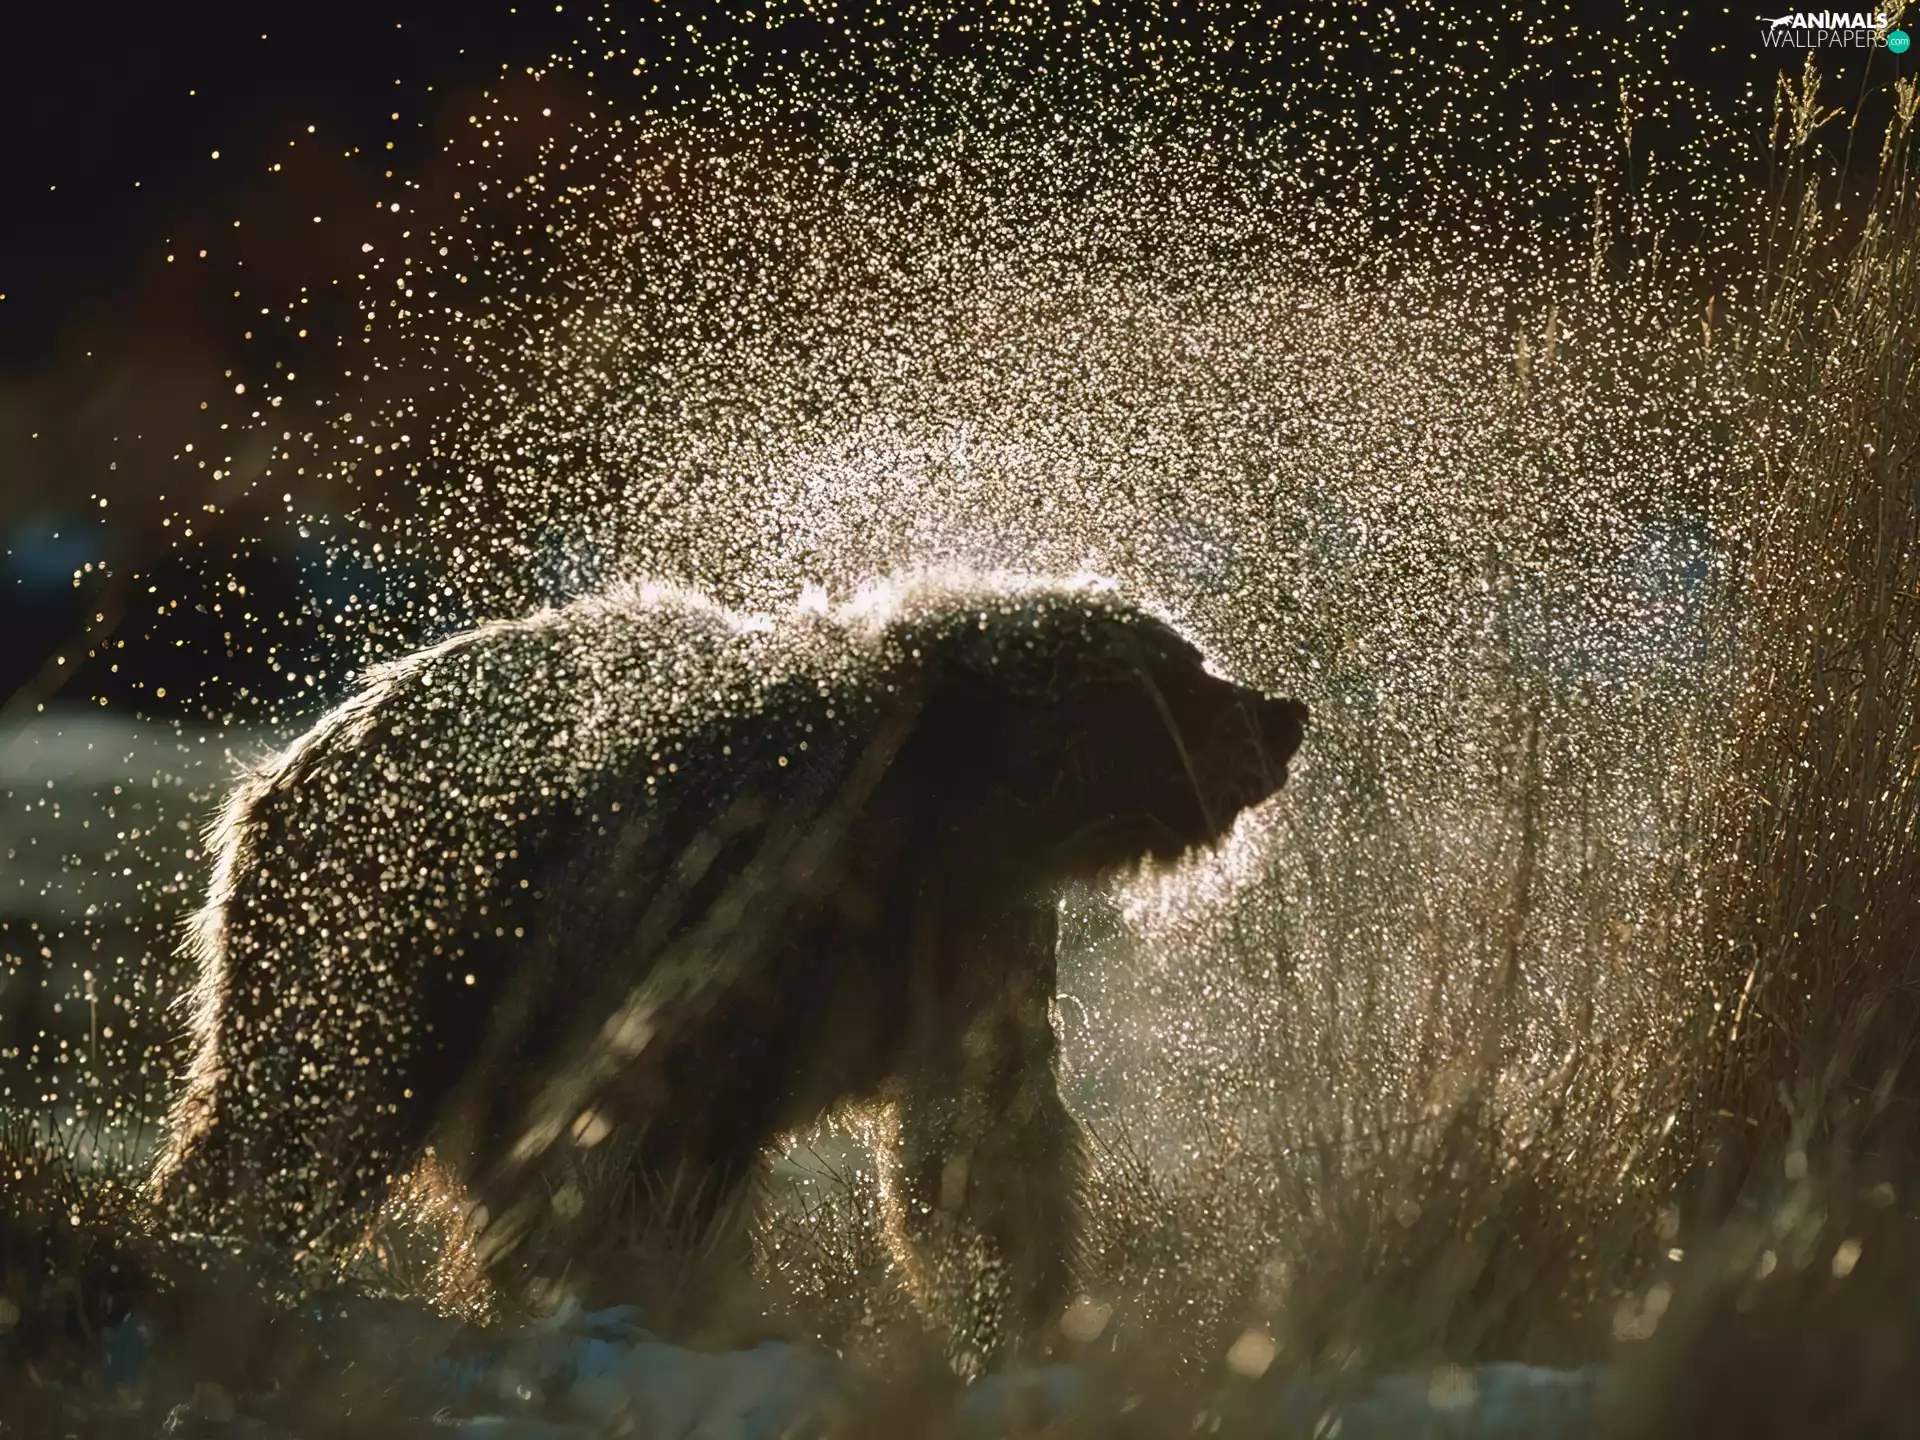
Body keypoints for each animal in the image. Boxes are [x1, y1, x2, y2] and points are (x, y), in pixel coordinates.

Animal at [148, 572, 1307, 1366]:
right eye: (1186, 669)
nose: (1283, 714)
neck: (938, 805)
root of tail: (279, 765)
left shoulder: (970, 931)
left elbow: (982, 1129)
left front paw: (1019, 1312)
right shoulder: (721, 899)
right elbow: (647, 1139)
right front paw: (651, 1295)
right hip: (385, 930)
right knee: (303, 1109)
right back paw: (217, 1245)